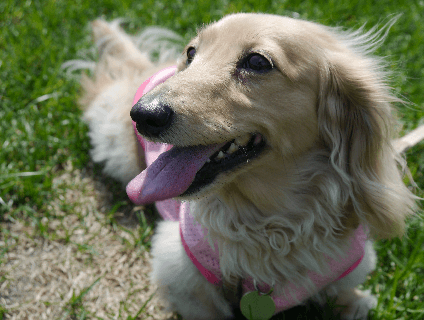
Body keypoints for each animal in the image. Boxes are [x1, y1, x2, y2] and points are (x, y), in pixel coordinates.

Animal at [74, 12, 416, 320]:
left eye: (257, 62)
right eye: (191, 53)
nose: (143, 114)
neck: (271, 223)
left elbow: (341, 288)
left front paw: (354, 302)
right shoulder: (180, 270)